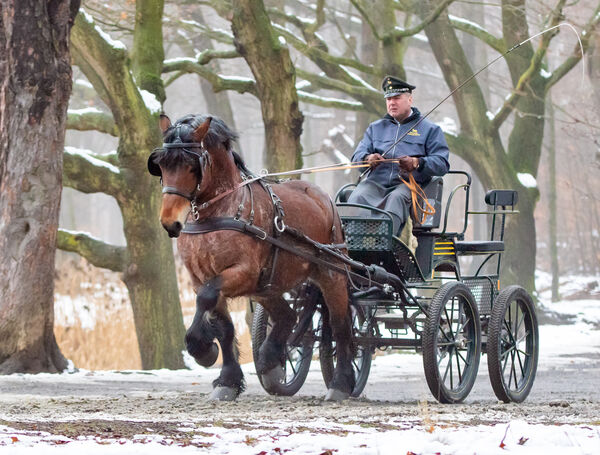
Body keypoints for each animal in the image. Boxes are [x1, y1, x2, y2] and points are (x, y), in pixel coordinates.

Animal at [148, 115, 354, 402]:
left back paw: (340, 384)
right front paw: (227, 380)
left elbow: (206, 299)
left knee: (340, 325)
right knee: (288, 316)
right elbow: (224, 327)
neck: (221, 211)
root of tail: (325, 199)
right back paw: (270, 359)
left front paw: (202, 348)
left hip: (332, 274)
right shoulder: (202, 278)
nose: (170, 222)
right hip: (267, 286)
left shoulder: (242, 271)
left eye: (191, 165)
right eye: (161, 165)